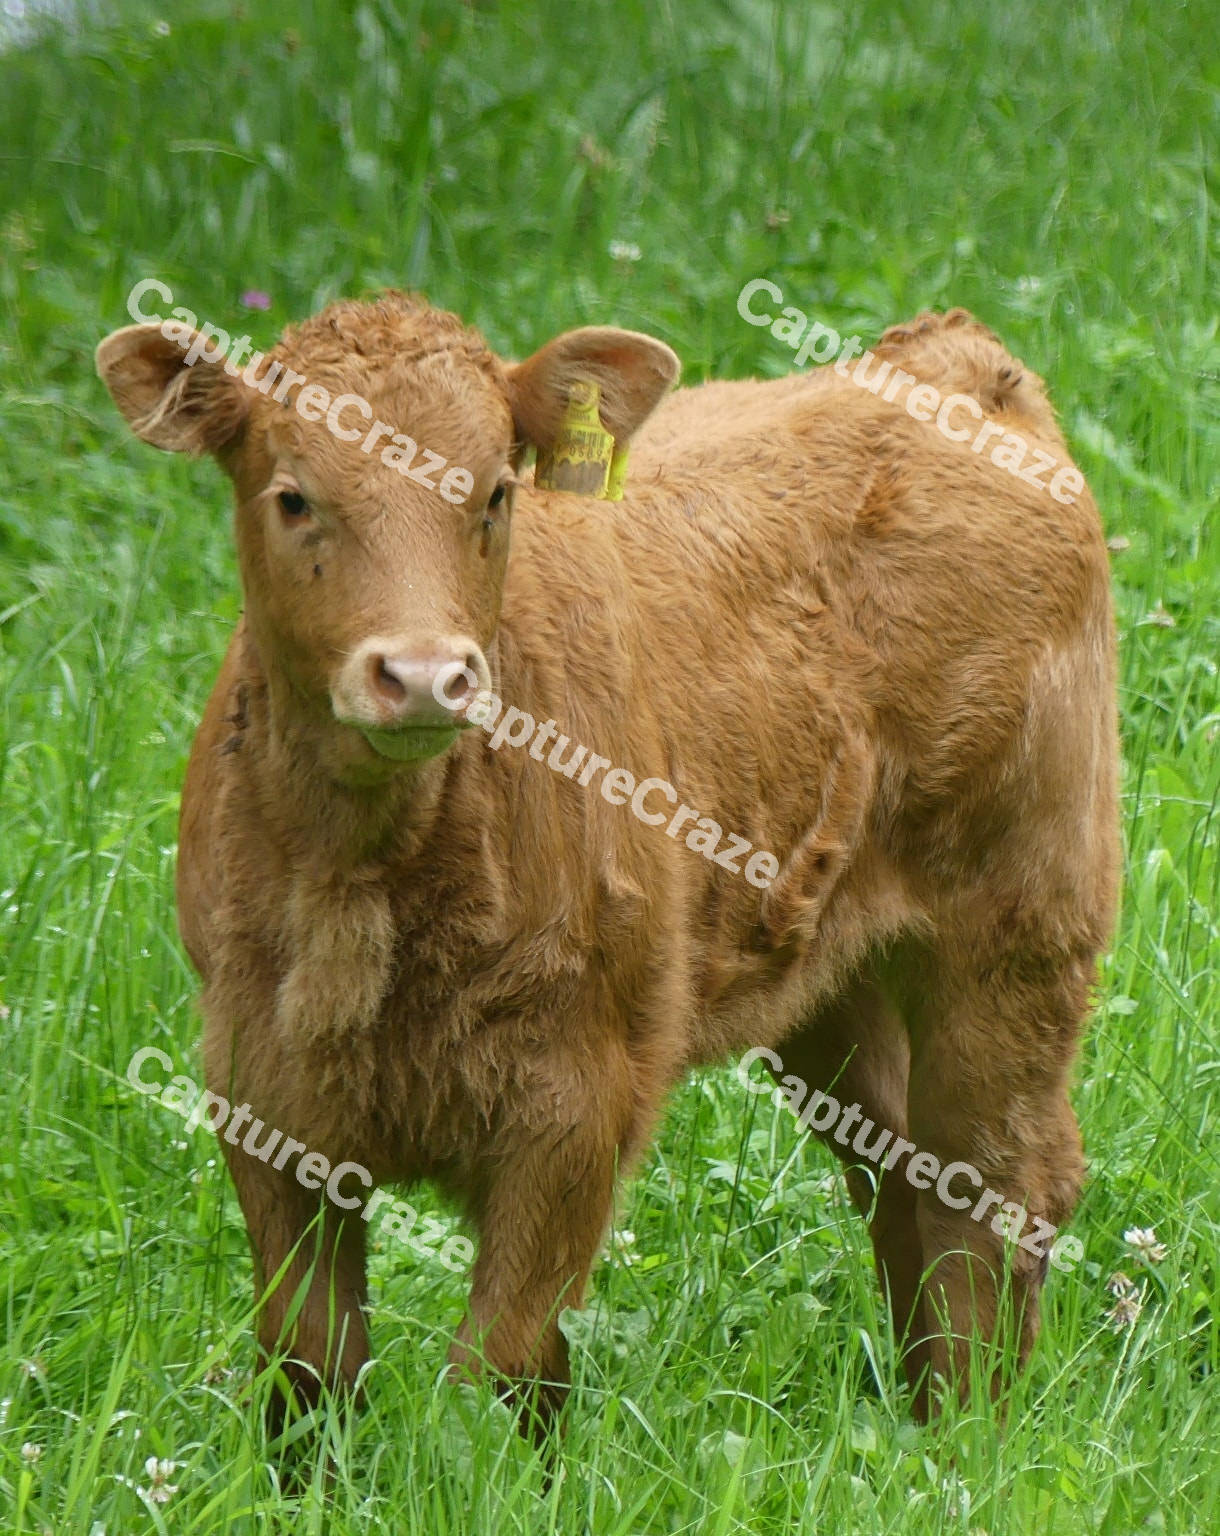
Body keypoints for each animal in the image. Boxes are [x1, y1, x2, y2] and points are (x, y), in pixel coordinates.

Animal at [96, 295, 1119, 1437]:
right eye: (292, 496)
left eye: (495, 493)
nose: (423, 674)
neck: (366, 878)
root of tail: (947, 356)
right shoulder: (259, 1085)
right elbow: (309, 1362)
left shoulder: (578, 1095)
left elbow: (499, 1365)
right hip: (833, 979)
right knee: (900, 1176)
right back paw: (916, 1418)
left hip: (1017, 930)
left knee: (990, 1182)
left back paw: (971, 1432)